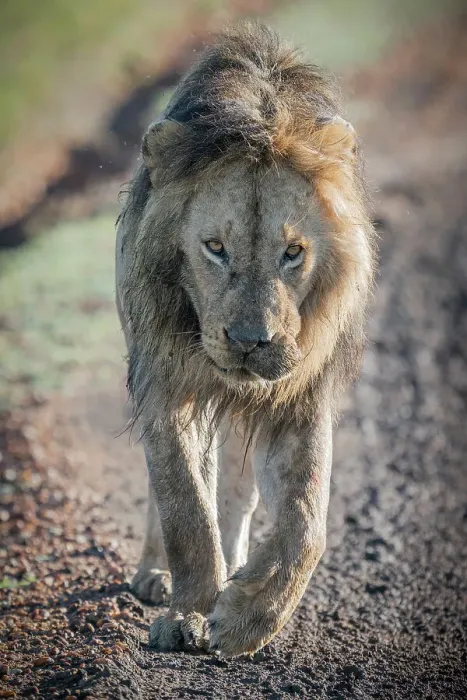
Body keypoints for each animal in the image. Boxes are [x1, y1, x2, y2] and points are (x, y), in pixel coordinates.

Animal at [116, 22, 376, 657]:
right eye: (215, 248)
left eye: (293, 252)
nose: (250, 341)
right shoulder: (166, 387)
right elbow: (185, 506)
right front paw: (188, 615)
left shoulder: (301, 398)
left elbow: (306, 523)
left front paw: (247, 617)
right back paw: (157, 577)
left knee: (237, 489)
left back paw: (234, 567)